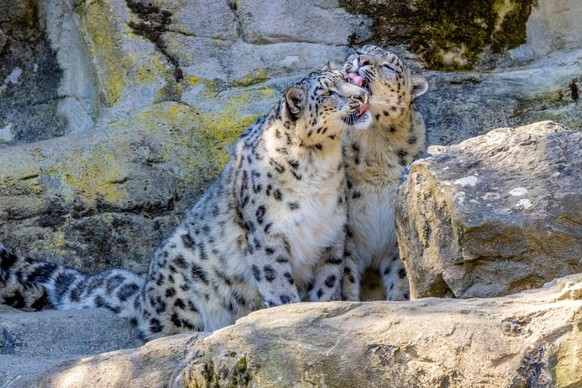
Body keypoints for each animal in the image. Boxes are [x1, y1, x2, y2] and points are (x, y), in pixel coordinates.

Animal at [0, 69, 374, 340]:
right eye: (328, 93)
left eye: (348, 79)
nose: (361, 96)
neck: (319, 163)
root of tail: (144, 294)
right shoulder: (267, 233)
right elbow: (277, 280)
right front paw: (290, 314)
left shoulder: (331, 234)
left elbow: (327, 282)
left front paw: (321, 313)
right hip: (183, 295)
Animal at [340, 44, 432, 300]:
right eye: (360, 51)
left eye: (389, 67)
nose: (361, 60)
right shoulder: (346, 234)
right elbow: (345, 277)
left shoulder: (396, 234)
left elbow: (401, 275)